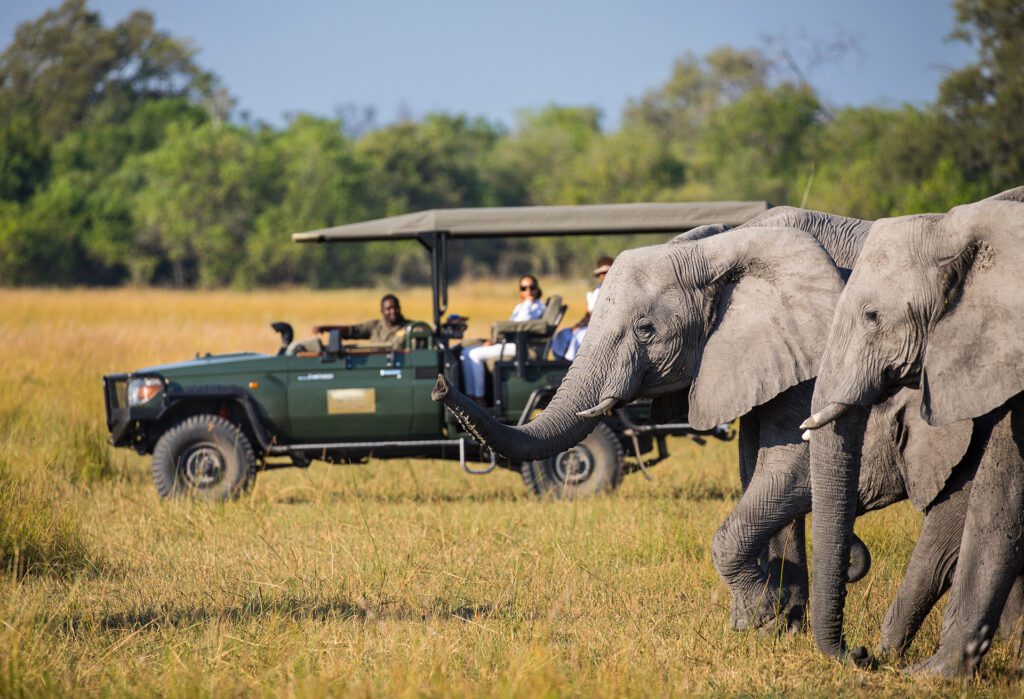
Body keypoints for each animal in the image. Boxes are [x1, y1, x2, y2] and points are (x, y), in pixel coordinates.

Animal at [433, 208, 996, 640]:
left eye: (646, 329)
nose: (441, 384)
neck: (723, 248)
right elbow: (756, 467)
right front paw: (775, 625)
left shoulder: (817, 349)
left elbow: (789, 466)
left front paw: (758, 620)